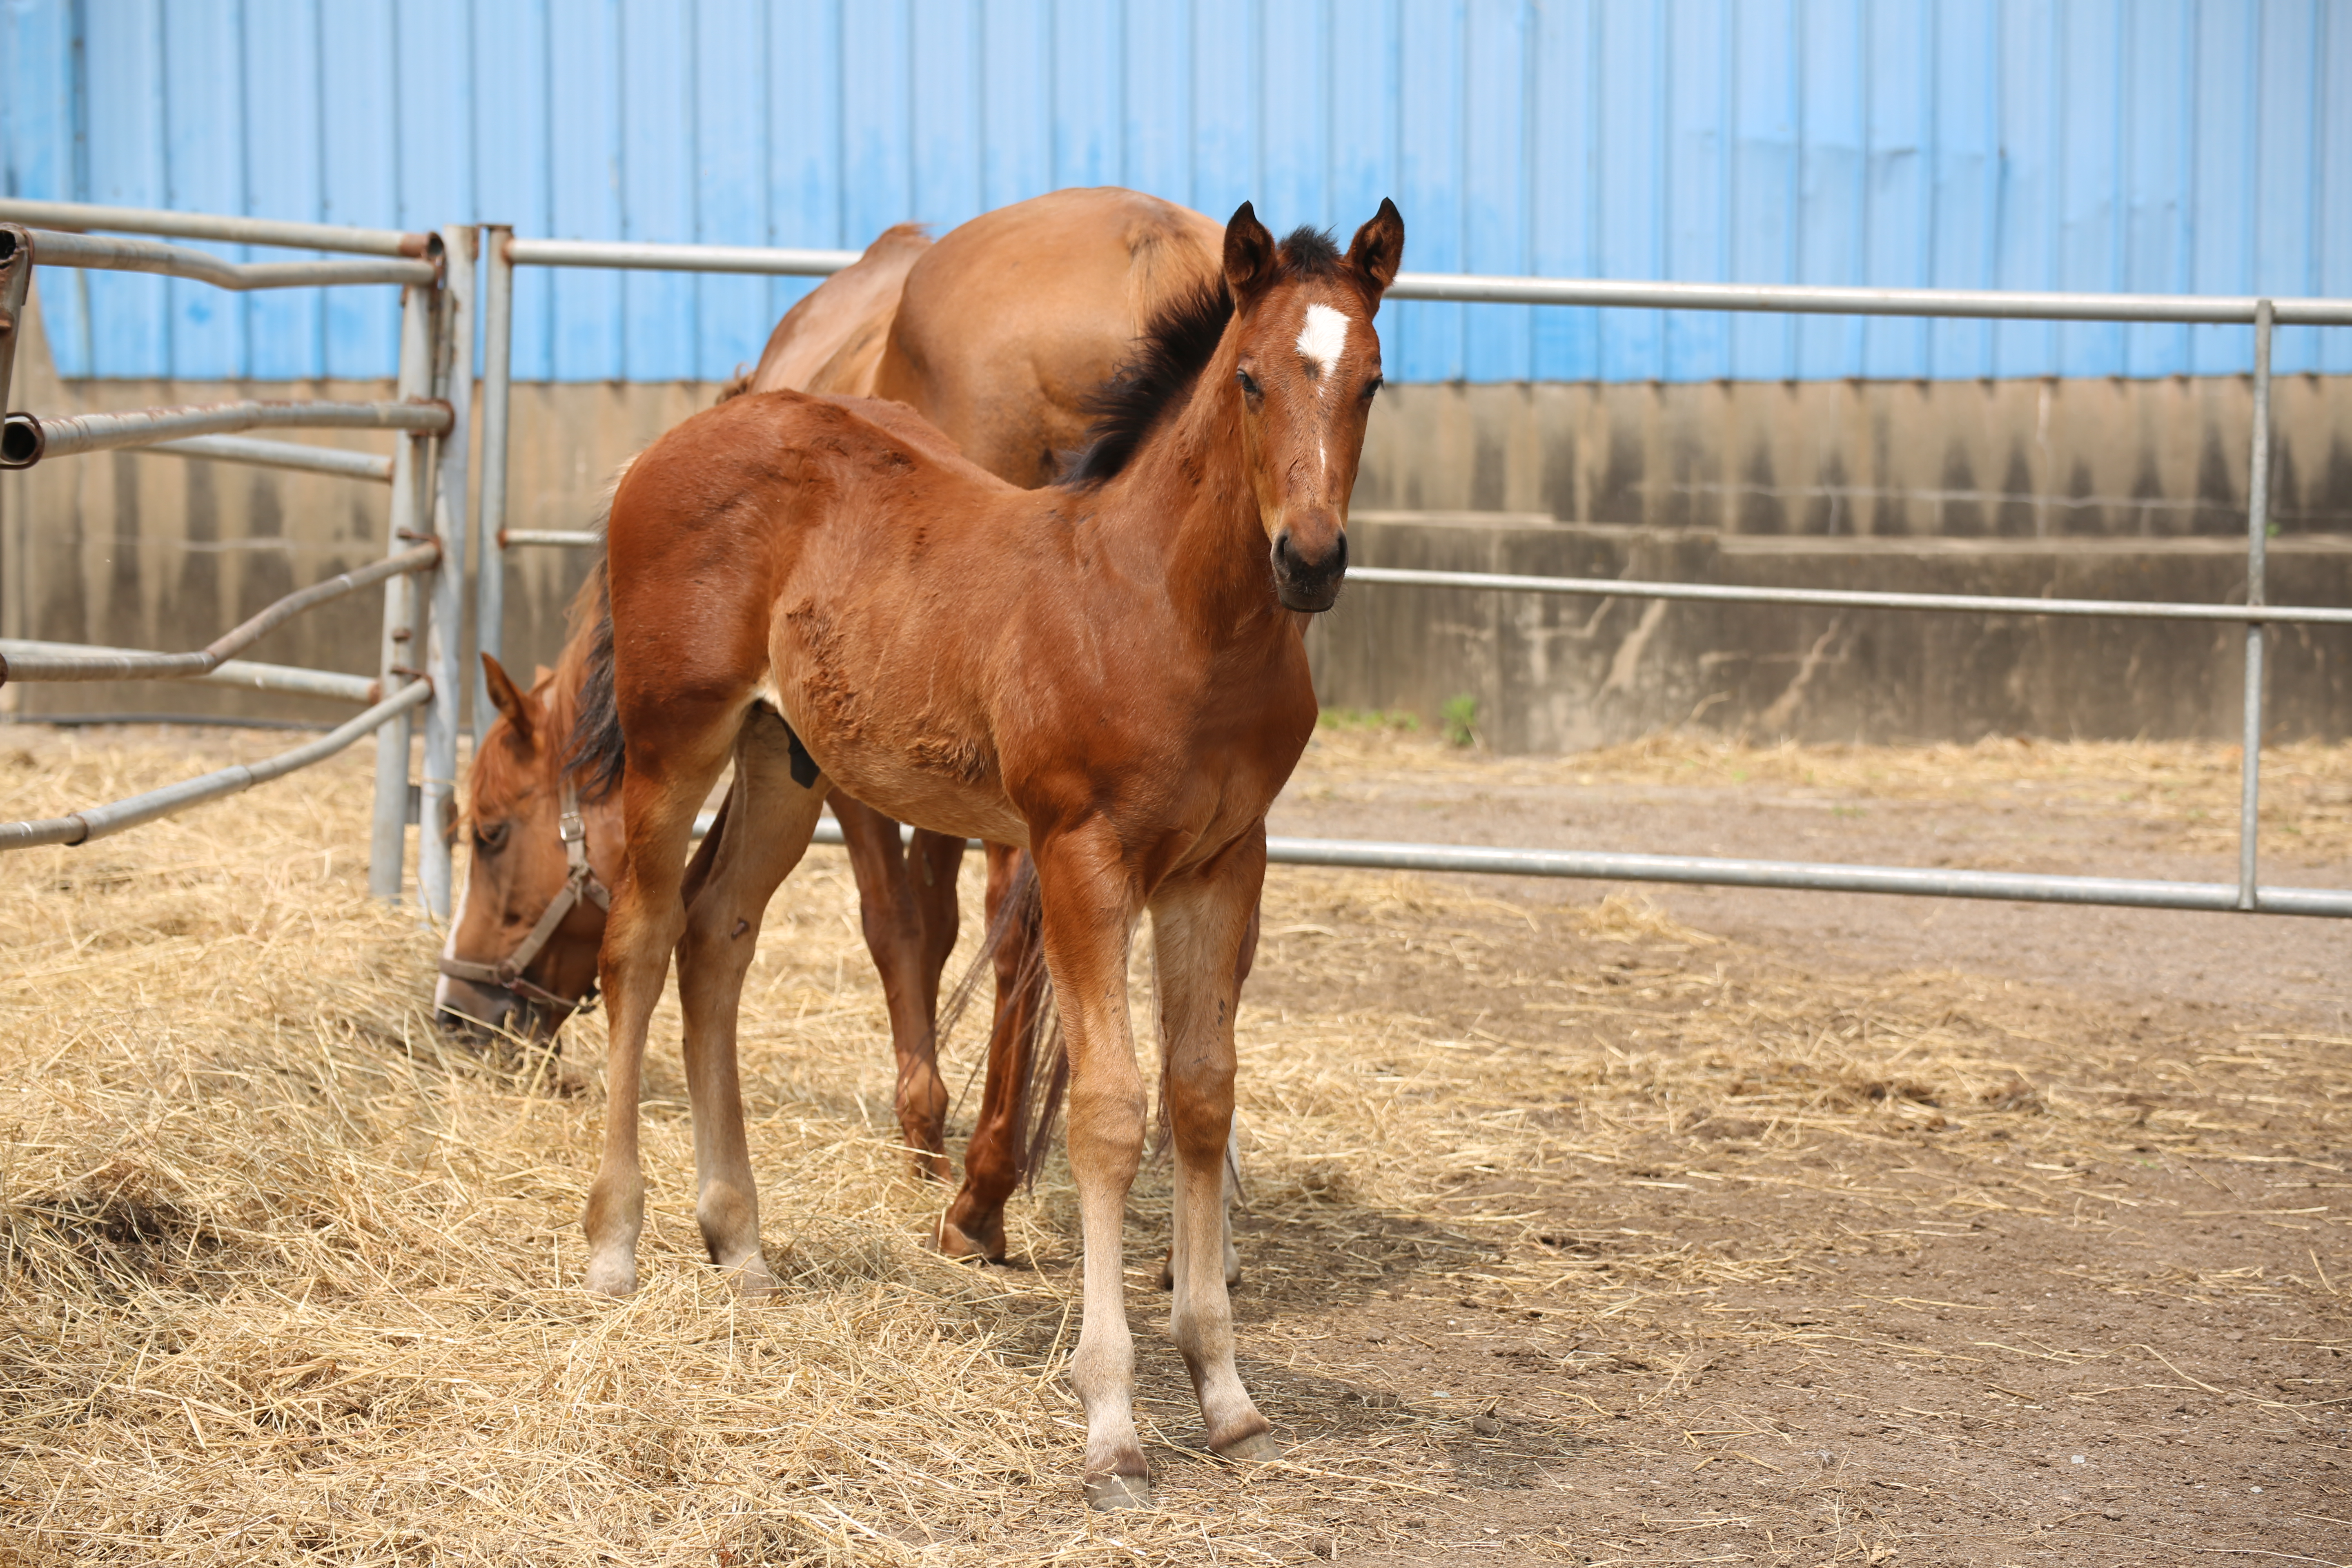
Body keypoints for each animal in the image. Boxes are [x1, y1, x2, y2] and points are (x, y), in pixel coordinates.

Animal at [430, 187, 1223, 1260]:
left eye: (489, 832)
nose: (457, 1011)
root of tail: (1147, 248)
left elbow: (898, 922)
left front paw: (924, 1130)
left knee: (1015, 933)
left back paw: (977, 1193)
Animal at [581, 200, 1401, 1504]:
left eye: (1371, 379)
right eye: (1254, 379)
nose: (1310, 559)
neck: (1167, 608)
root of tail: (684, 438)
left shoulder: (1225, 863)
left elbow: (1203, 1095)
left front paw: (1225, 1394)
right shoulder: (1081, 854)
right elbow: (1112, 1112)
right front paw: (1111, 1425)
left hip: (781, 759)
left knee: (717, 938)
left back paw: (739, 1243)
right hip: (677, 740)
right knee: (640, 939)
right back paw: (615, 1244)